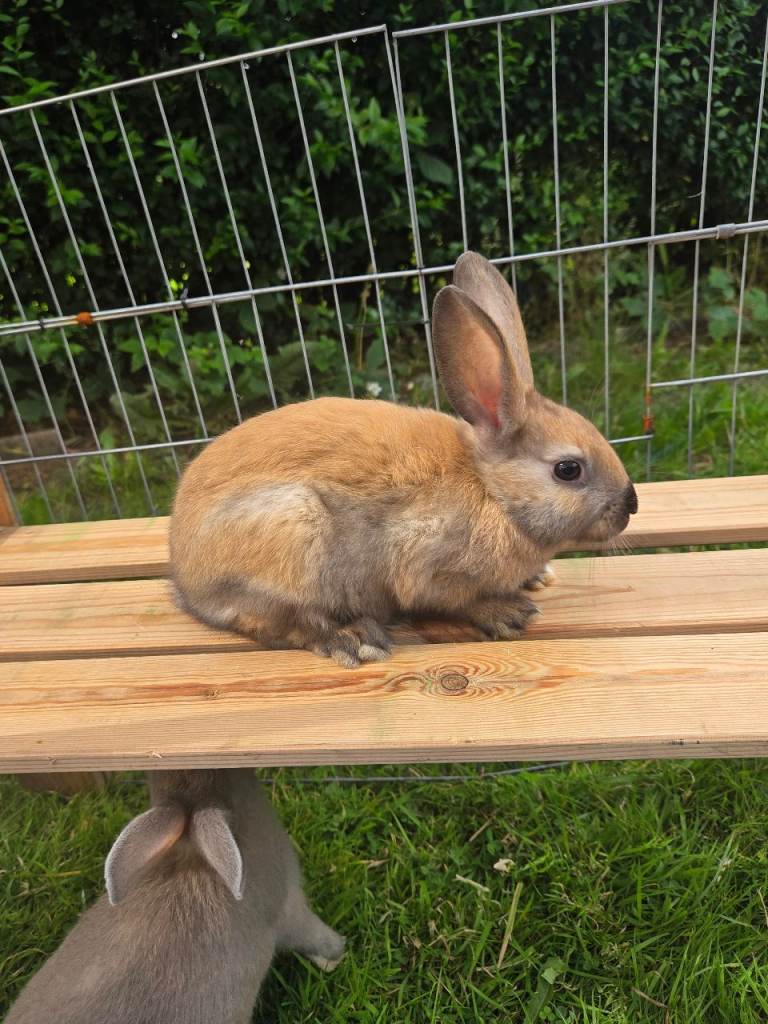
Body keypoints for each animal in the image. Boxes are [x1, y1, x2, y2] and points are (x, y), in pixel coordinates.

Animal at [170, 251, 637, 667]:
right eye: (568, 470)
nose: (630, 505)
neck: (492, 490)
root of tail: (187, 576)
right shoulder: (426, 564)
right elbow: (453, 601)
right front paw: (507, 613)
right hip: (293, 534)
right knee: (281, 622)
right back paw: (354, 638)